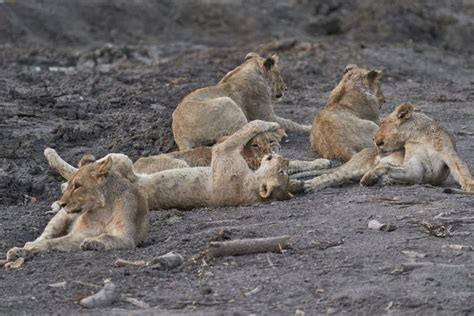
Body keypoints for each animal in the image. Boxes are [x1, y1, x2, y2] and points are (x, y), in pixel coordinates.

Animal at [6, 156, 149, 262]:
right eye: (69, 185)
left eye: (78, 186)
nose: (62, 204)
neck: (102, 209)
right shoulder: (79, 234)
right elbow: (52, 242)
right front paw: (27, 248)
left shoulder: (126, 237)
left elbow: (106, 236)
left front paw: (92, 242)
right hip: (59, 220)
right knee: (43, 237)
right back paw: (19, 250)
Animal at [170, 51, 312, 151]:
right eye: (278, 73)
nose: (286, 89)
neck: (248, 68)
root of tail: (181, 136)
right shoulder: (265, 114)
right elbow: (290, 123)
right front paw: (309, 128)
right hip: (227, 102)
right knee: (247, 132)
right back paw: (277, 131)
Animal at [304, 103, 474, 193]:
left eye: (382, 122)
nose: (373, 139)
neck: (419, 137)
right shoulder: (414, 166)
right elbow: (385, 165)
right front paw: (370, 176)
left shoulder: (448, 155)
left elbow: (463, 171)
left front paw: (470, 185)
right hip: (355, 167)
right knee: (329, 176)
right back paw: (308, 186)